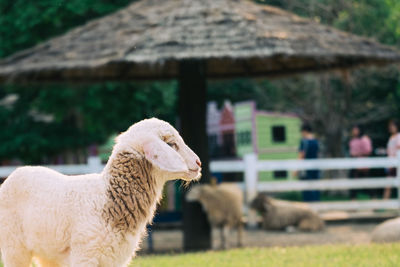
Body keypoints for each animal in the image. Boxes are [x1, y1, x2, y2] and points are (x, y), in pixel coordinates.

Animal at [0, 119, 202, 267]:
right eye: (171, 144)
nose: (199, 163)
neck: (108, 197)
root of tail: (15, 173)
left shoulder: (115, 259)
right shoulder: (85, 255)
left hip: (49, 254)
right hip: (13, 246)